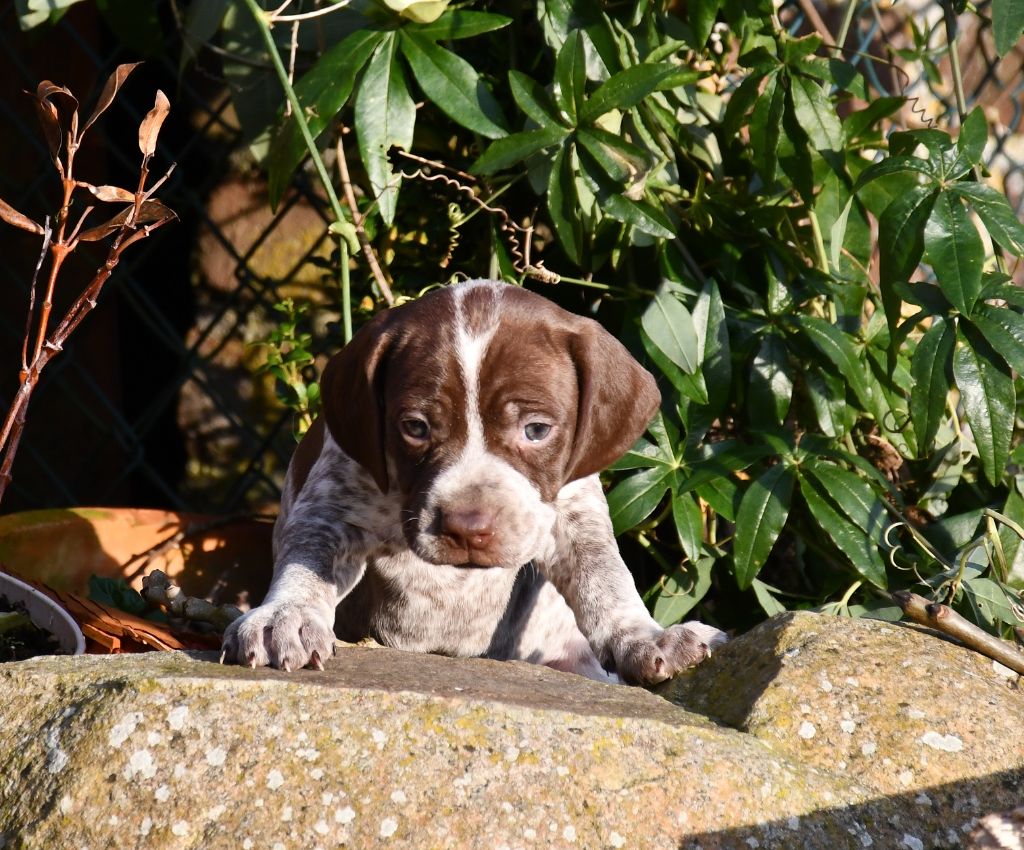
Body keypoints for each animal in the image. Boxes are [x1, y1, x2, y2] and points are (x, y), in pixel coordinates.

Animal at [220, 278, 724, 684]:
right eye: (415, 427)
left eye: (536, 430)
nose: (467, 528)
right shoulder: (332, 509)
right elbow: (307, 561)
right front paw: (286, 616)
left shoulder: (574, 516)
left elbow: (605, 580)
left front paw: (646, 637)